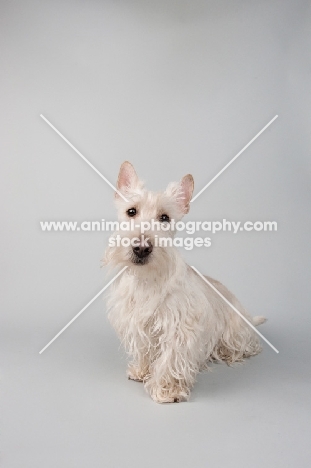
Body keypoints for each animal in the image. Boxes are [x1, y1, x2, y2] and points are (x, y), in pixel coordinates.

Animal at [103, 162, 266, 402]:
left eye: (165, 217)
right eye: (131, 211)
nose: (141, 248)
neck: (147, 279)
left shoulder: (180, 326)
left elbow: (171, 357)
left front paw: (167, 389)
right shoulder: (137, 323)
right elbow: (144, 349)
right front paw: (142, 371)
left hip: (237, 331)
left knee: (244, 345)